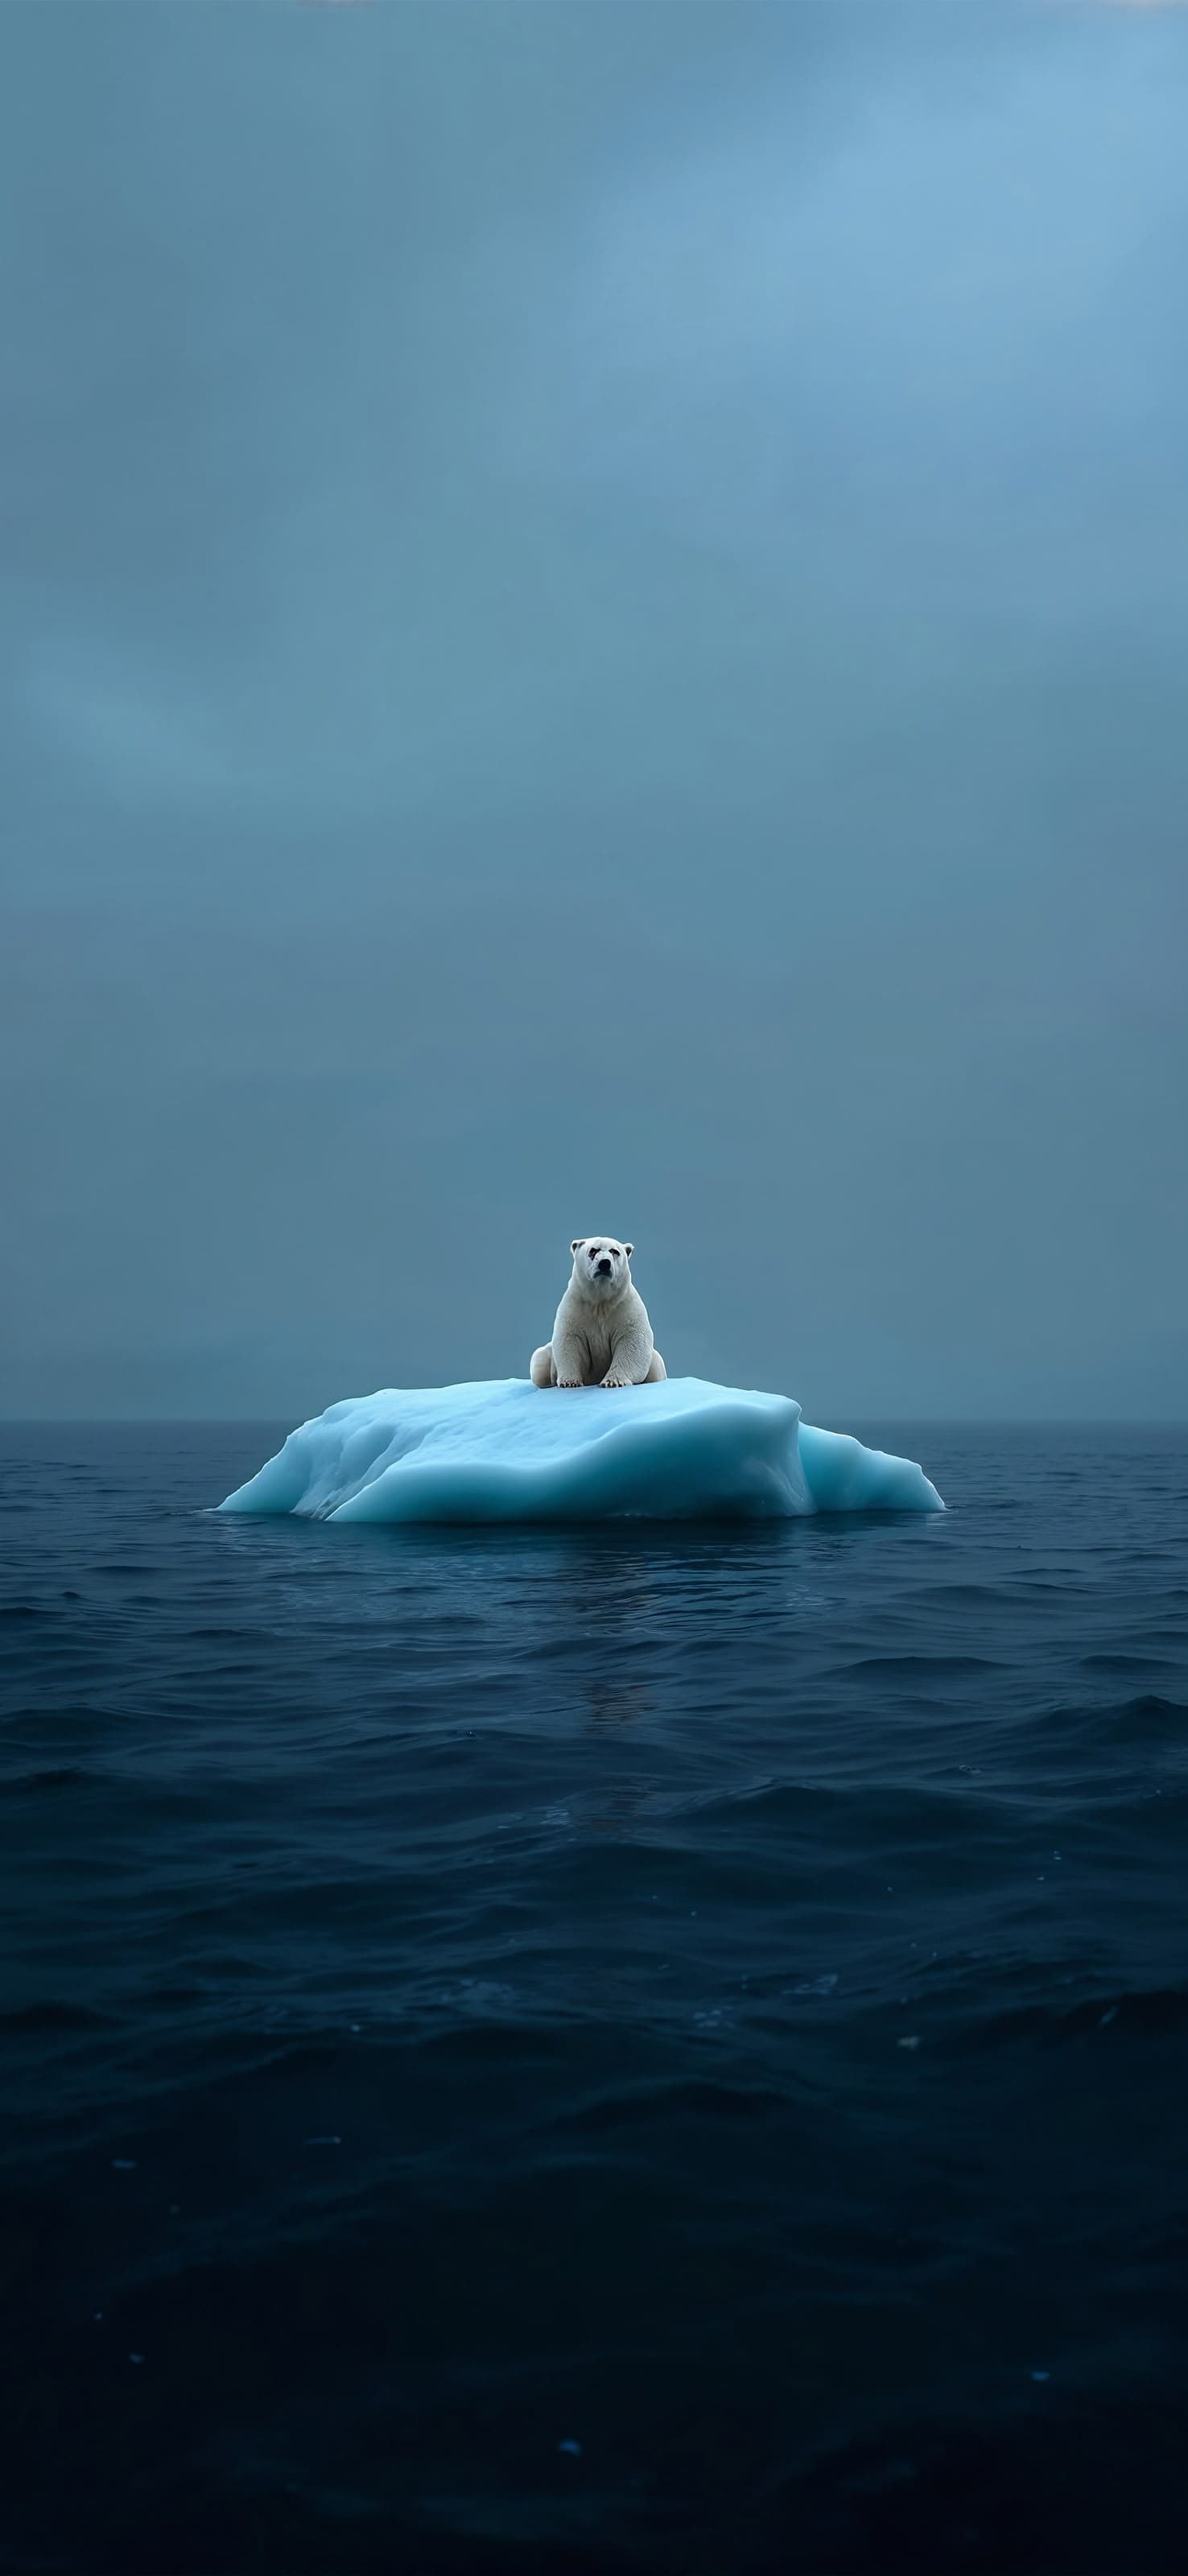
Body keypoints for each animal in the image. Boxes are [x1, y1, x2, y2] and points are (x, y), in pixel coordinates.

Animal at [530, 1237, 667, 1389]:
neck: (600, 1301)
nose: (604, 1263)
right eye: (593, 1250)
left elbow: (632, 1339)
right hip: (546, 1356)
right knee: (540, 1361)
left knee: (656, 1366)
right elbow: (569, 1339)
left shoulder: (625, 1307)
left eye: (614, 1251)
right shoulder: (575, 1308)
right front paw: (570, 1382)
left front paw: (612, 1382)